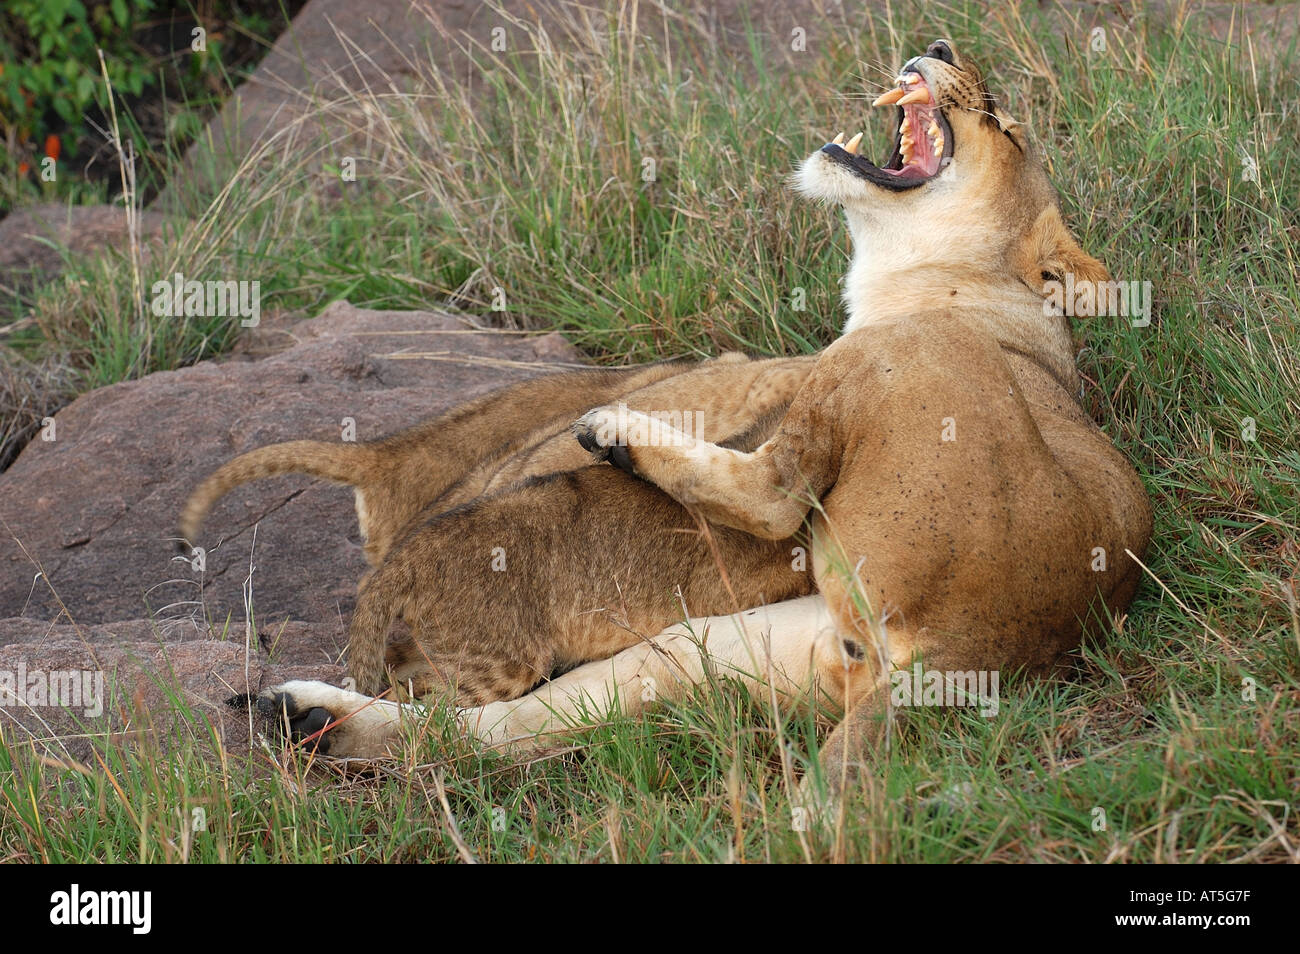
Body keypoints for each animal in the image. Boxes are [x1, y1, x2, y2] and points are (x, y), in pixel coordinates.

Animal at [239, 41, 1151, 793]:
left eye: (1000, 123)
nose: (941, 44)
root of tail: (972, 659)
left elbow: (772, 467)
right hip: (717, 648)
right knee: (498, 731)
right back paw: (314, 719)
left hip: (893, 372)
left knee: (773, 494)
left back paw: (612, 432)